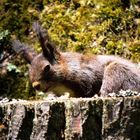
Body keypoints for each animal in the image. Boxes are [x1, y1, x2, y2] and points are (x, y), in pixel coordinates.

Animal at [11, 22, 140, 97]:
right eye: (29, 71)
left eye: (47, 67)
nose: (35, 86)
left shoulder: (86, 76)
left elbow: (88, 88)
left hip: (117, 71)